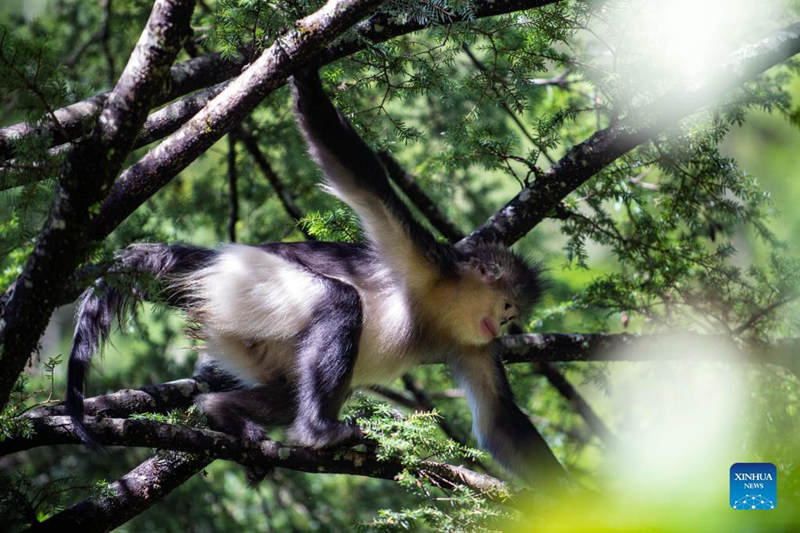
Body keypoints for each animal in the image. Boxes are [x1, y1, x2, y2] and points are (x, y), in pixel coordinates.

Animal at [69, 68, 564, 484]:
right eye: (507, 307)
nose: (503, 325)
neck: (441, 307)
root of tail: (213, 261)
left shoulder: (471, 345)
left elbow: (499, 420)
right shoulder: (426, 262)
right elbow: (360, 176)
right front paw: (304, 67)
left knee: (287, 388)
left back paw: (223, 411)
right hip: (250, 282)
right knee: (339, 302)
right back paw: (316, 431)